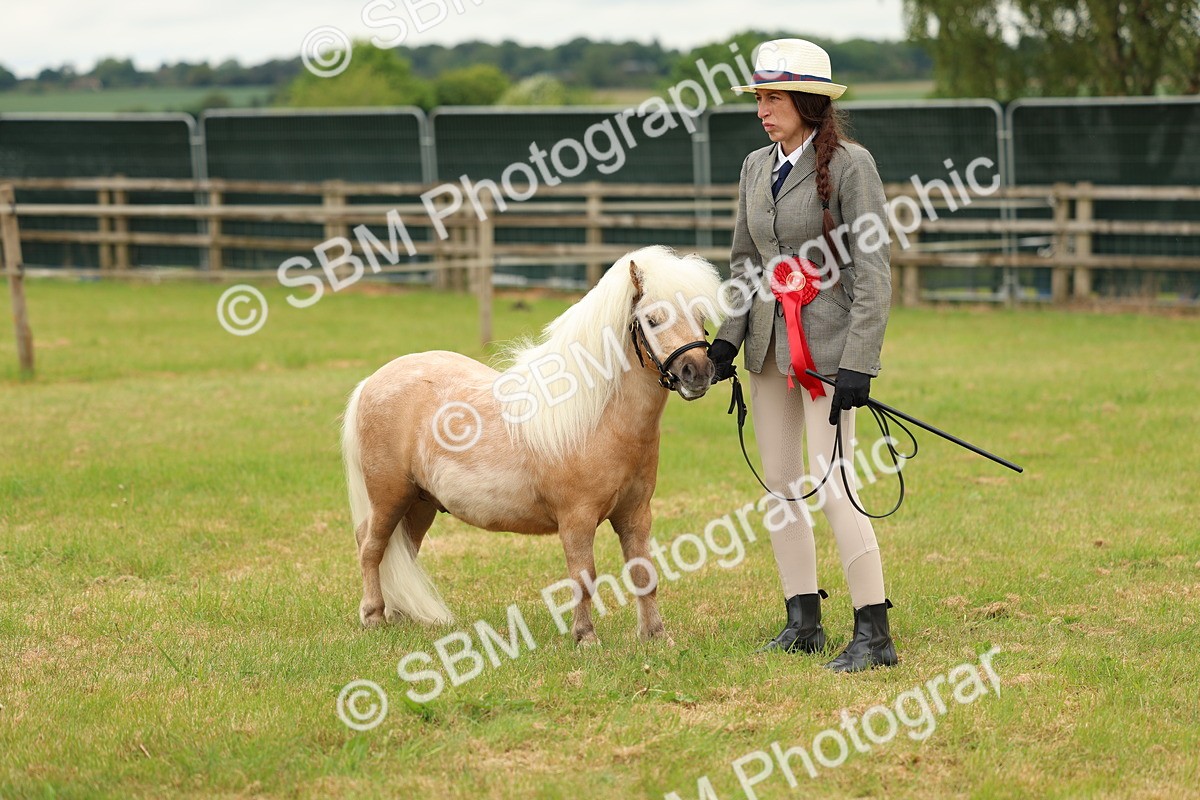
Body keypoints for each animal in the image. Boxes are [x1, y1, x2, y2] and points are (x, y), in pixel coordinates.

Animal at [341, 245, 725, 644]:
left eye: (699, 316)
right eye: (652, 318)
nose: (698, 372)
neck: (598, 419)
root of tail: (373, 381)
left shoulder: (636, 516)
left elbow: (643, 573)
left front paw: (656, 635)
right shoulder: (576, 520)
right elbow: (583, 578)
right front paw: (585, 637)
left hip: (420, 503)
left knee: (403, 550)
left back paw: (401, 615)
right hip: (389, 496)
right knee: (371, 546)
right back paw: (374, 616)